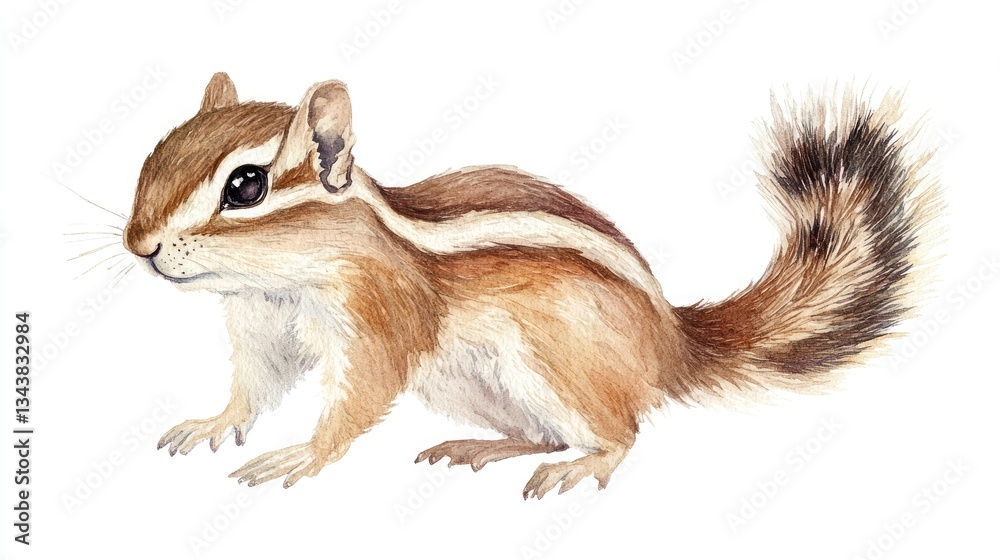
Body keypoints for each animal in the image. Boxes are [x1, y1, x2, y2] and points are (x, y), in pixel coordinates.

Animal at [123, 73, 939, 499]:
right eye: (155, 155)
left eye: (246, 186)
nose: (139, 247)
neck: (282, 280)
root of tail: (670, 342)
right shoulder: (263, 326)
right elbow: (256, 385)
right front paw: (215, 420)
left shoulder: (379, 318)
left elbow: (358, 398)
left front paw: (303, 455)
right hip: (473, 385)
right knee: (539, 432)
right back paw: (477, 449)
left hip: (555, 361)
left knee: (620, 432)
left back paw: (584, 466)